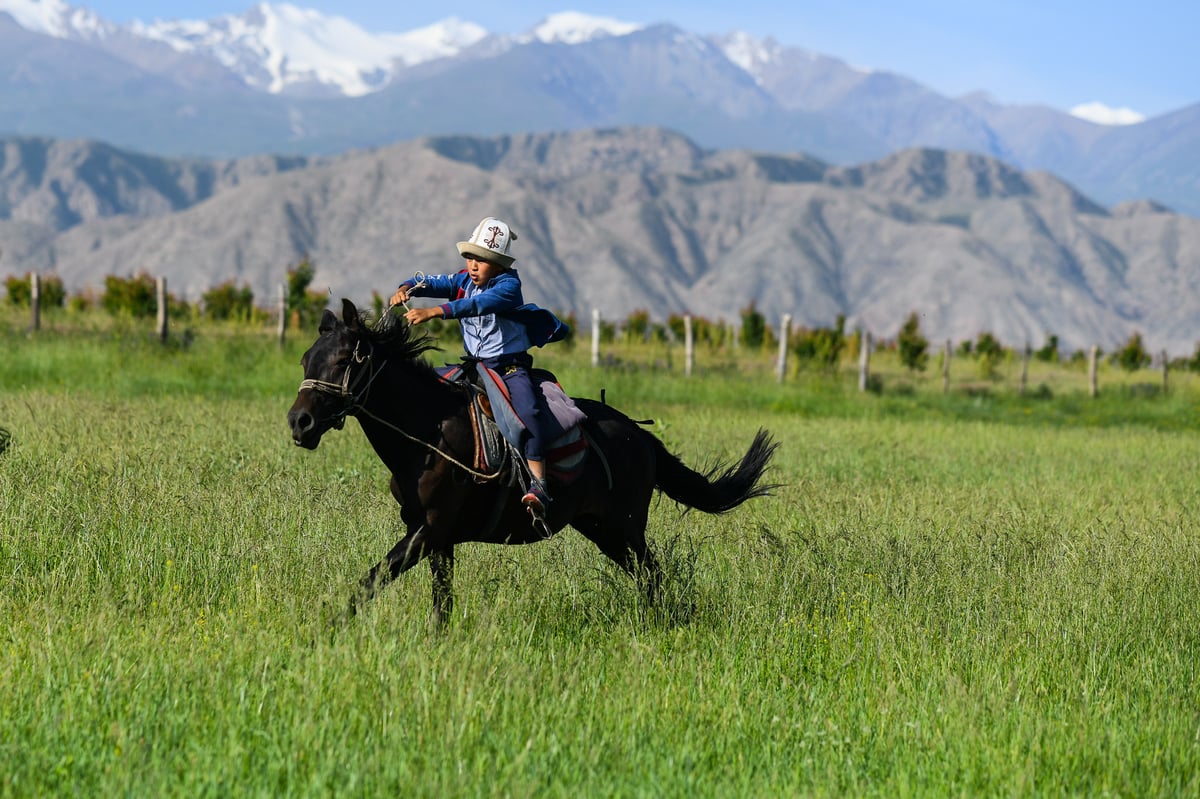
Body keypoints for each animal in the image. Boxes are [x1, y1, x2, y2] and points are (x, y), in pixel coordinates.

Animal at [288, 298, 777, 623]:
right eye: (306, 358)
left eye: (344, 359)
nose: (299, 422)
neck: (429, 432)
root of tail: (640, 435)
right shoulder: (434, 537)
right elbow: (440, 601)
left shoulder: (429, 531)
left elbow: (369, 582)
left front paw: (328, 629)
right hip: (601, 530)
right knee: (648, 576)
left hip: (625, 529)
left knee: (652, 576)